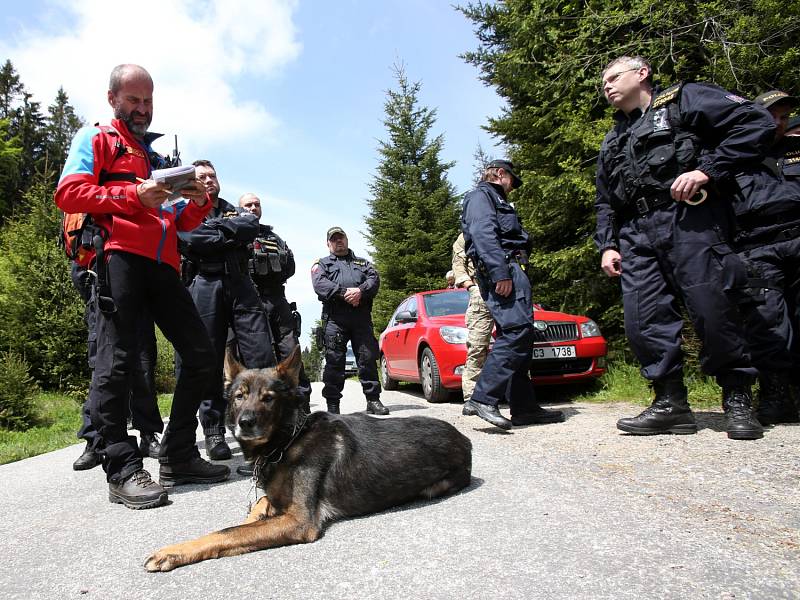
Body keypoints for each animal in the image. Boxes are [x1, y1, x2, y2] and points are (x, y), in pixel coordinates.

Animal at [145, 344, 472, 568]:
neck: (287, 441)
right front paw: (254, 513)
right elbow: (259, 505)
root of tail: (464, 439)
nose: (246, 422)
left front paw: (174, 551)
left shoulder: (298, 521)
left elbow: (227, 532)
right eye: (239, 396)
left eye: (268, 398)